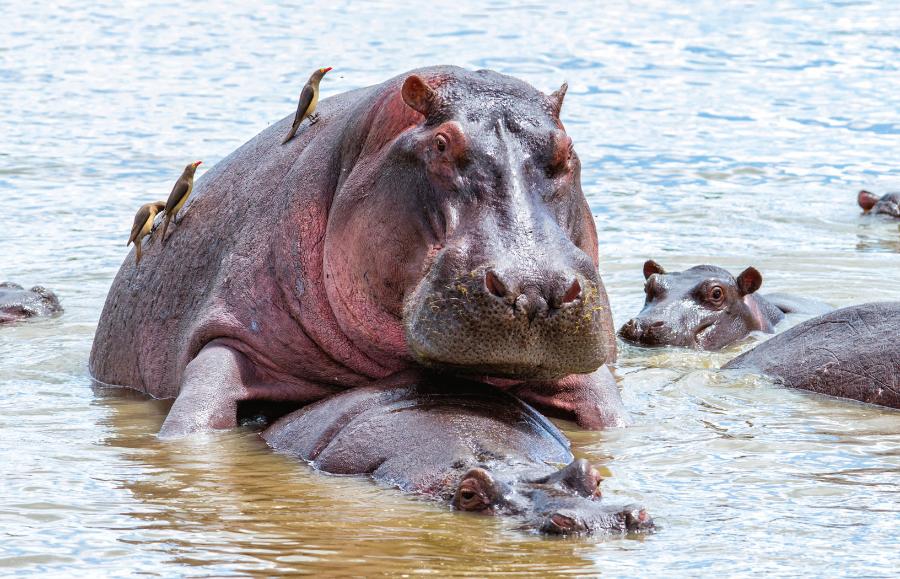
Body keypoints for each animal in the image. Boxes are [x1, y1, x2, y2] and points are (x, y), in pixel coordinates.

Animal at [91, 65, 624, 438]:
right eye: (441, 144)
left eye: (566, 150)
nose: (534, 288)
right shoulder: (229, 335)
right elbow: (193, 420)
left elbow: (607, 411)